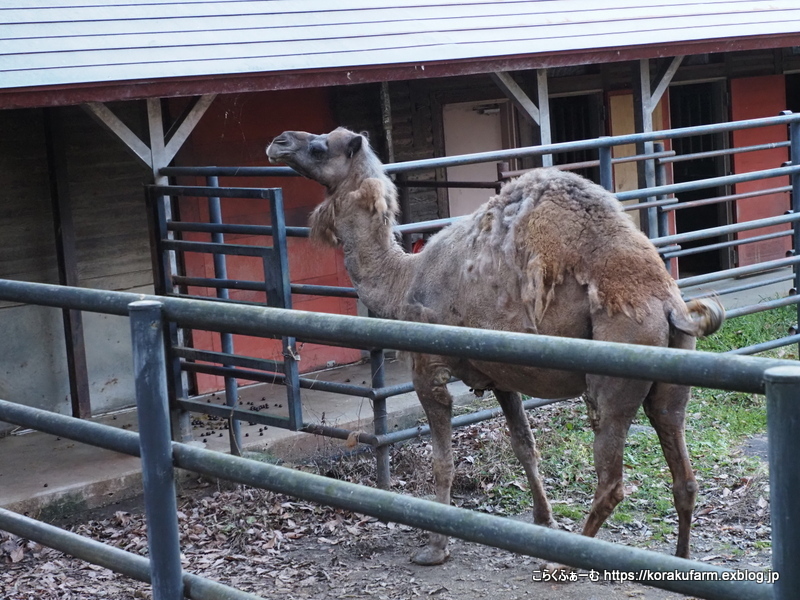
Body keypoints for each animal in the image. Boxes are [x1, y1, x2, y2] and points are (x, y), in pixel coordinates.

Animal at [268, 126, 724, 568]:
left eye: (321, 147)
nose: (279, 142)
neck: (404, 280)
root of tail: (669, 305)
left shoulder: (428, 368)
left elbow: (443, 462)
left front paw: (435, 547)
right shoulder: (502, 372)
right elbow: (525, 447)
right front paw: (545, 522)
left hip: (618, 362)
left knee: (611, 480)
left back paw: (566, 566)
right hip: (673, 374)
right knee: (682, 468)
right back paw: (681, 561)